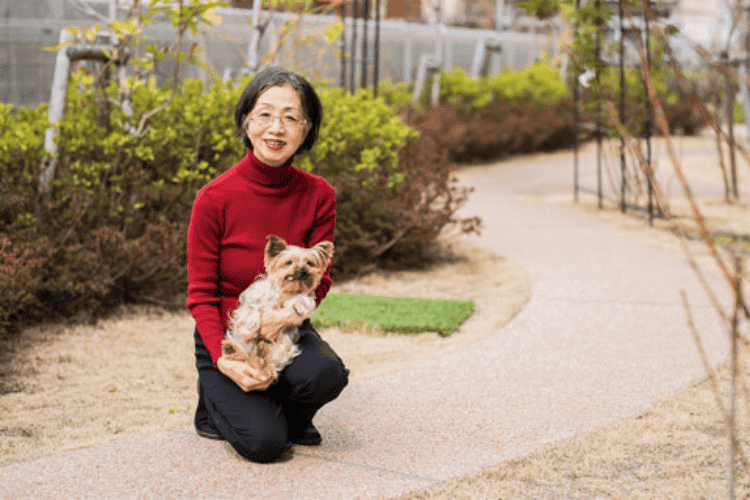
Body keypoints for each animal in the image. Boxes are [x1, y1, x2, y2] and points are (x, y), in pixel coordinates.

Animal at [223, 234, 334, 390]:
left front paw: (298, 303)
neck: (284, 291)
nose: (302, 271)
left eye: (309, 263)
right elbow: (251, 312)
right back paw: (232, 349)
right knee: (245, 357)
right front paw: (249, 330)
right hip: (245, 345)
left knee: (266, 365)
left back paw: (260, 355)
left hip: (284, 345)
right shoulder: (250, 301)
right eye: (289, 262)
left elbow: (303, 299)